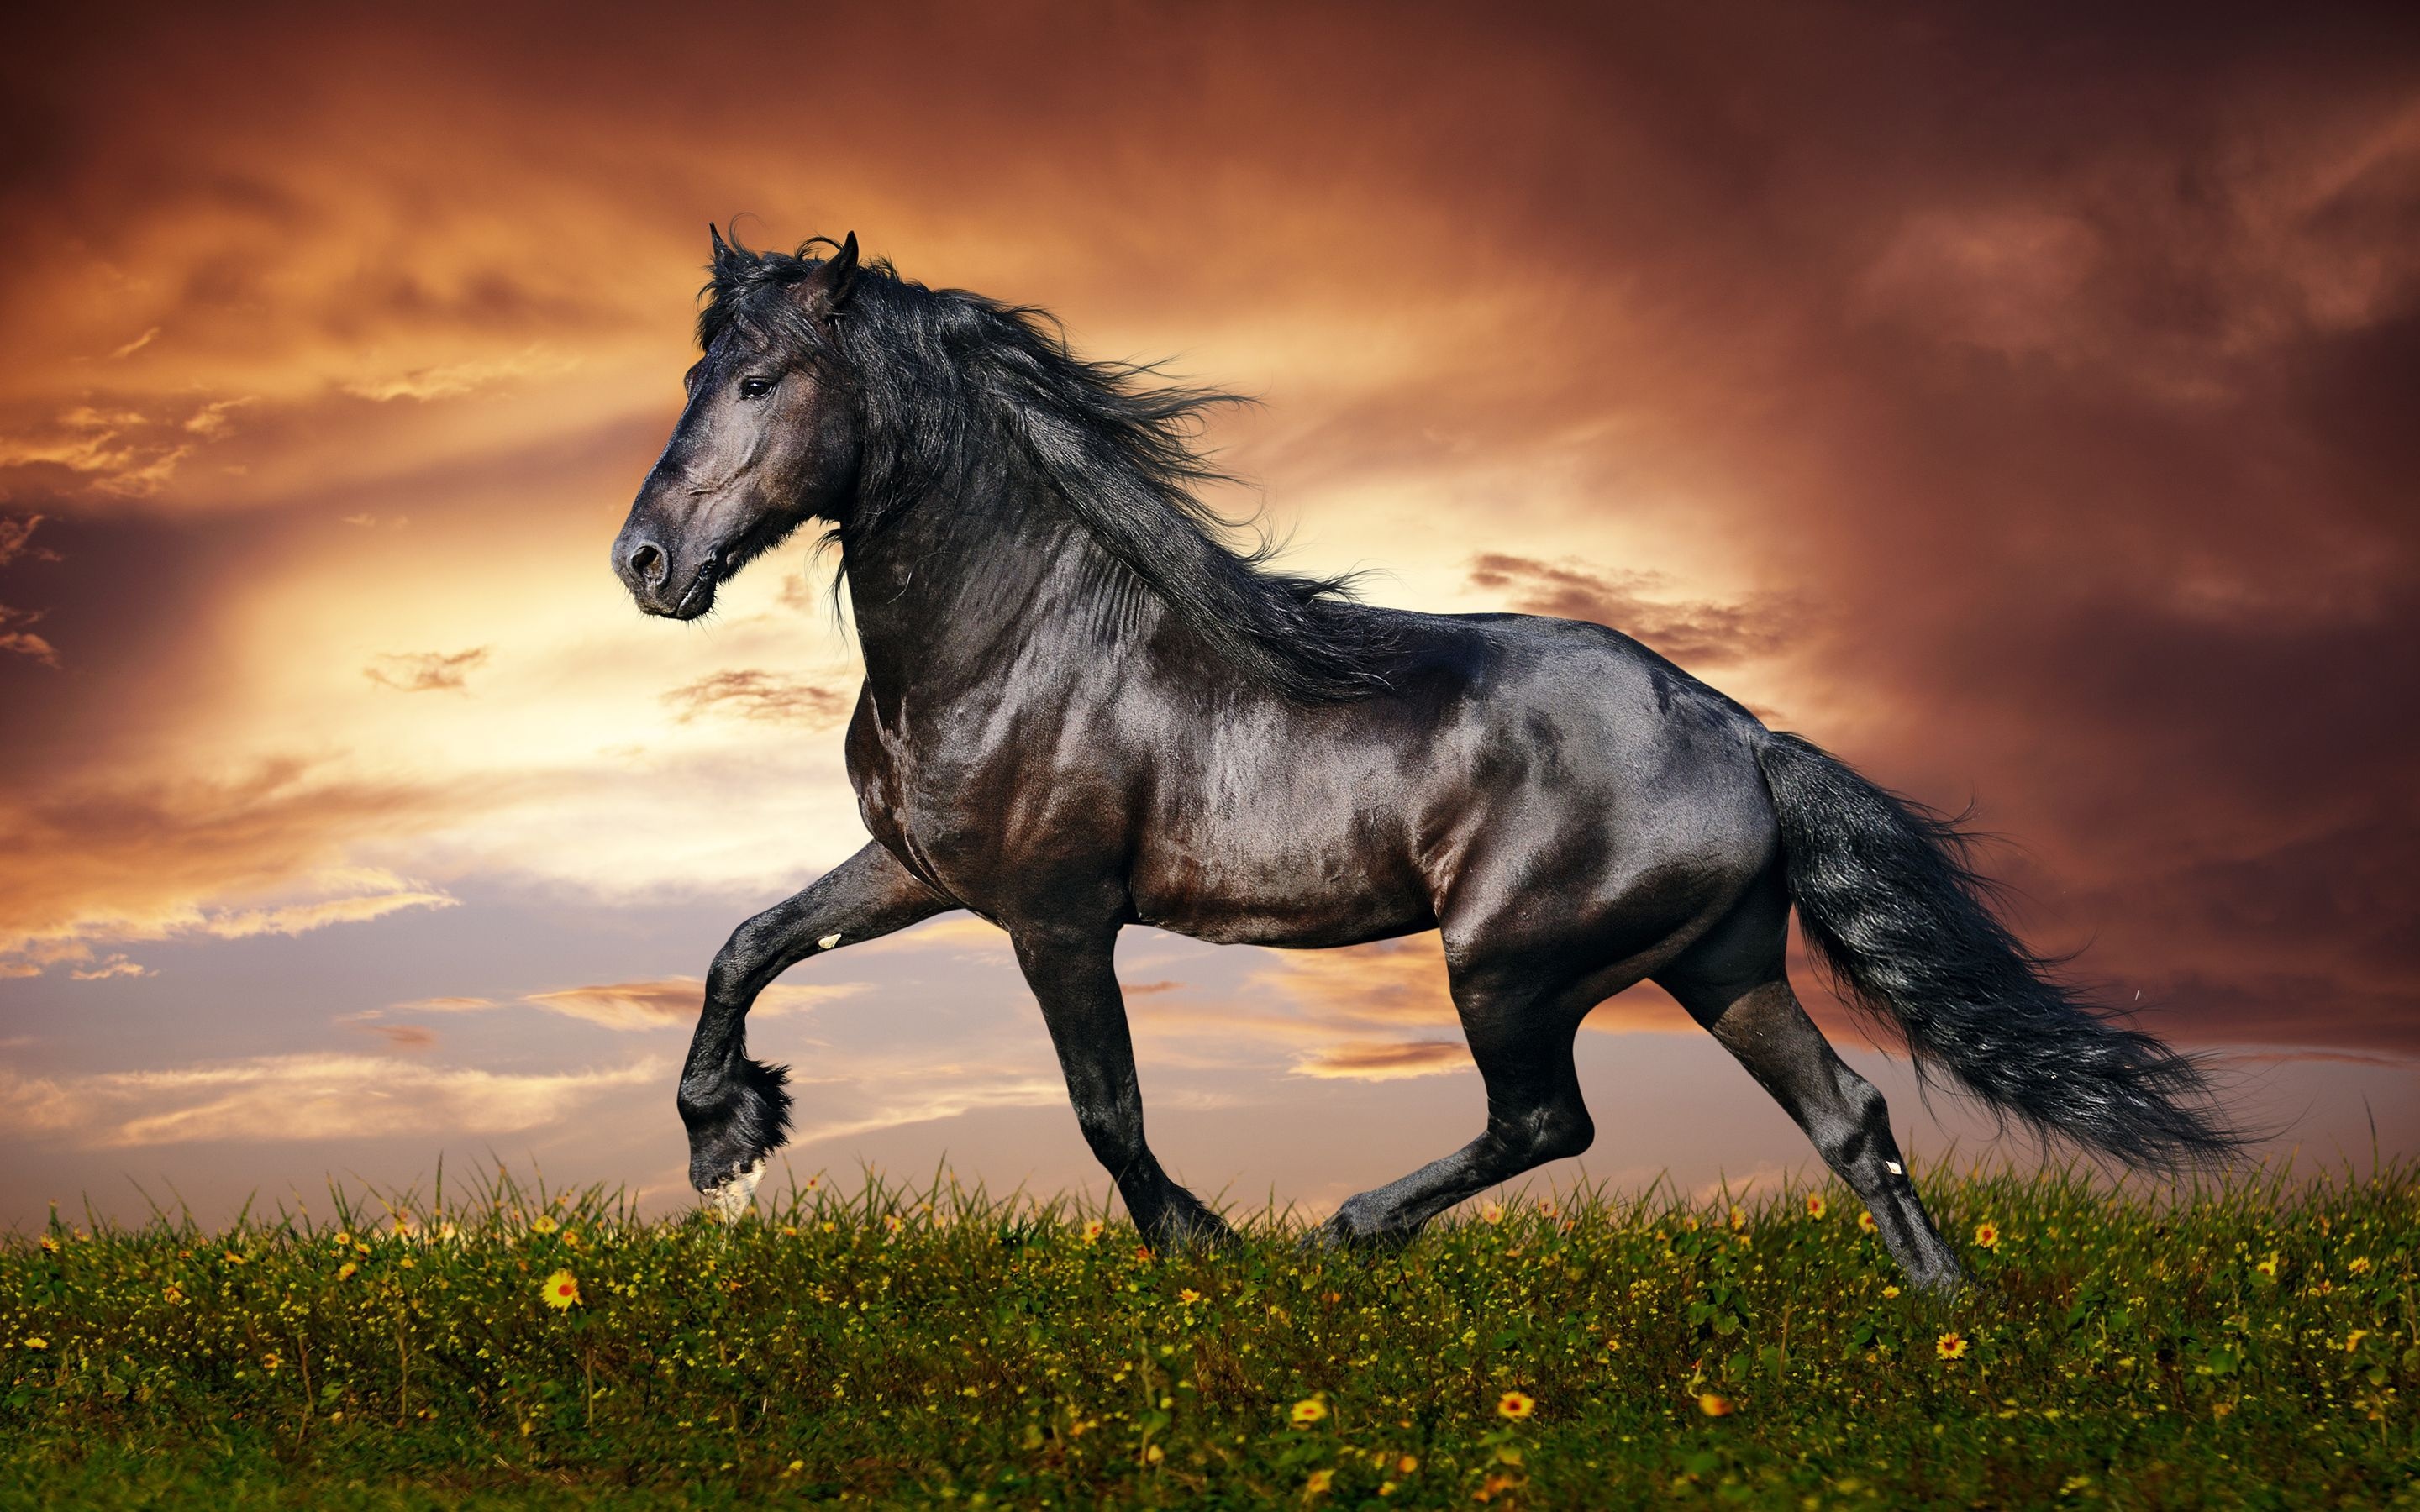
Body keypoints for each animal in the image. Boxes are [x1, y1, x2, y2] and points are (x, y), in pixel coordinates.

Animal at [610, 227, 2239, 1292]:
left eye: (760, 381)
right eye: (696, 372)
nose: (644, 563)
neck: (1018, 633)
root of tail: (1744, 734)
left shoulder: (1056, 915)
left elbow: (1105, 1109)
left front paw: (1206, 1250)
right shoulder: (921, 868)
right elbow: (746, 943)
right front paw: (725, 1142)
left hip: (1509, 962)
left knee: (1550, 1120)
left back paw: (1346, 1232)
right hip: (1719, 962)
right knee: (1850, 1119)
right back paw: (1947, 1324)